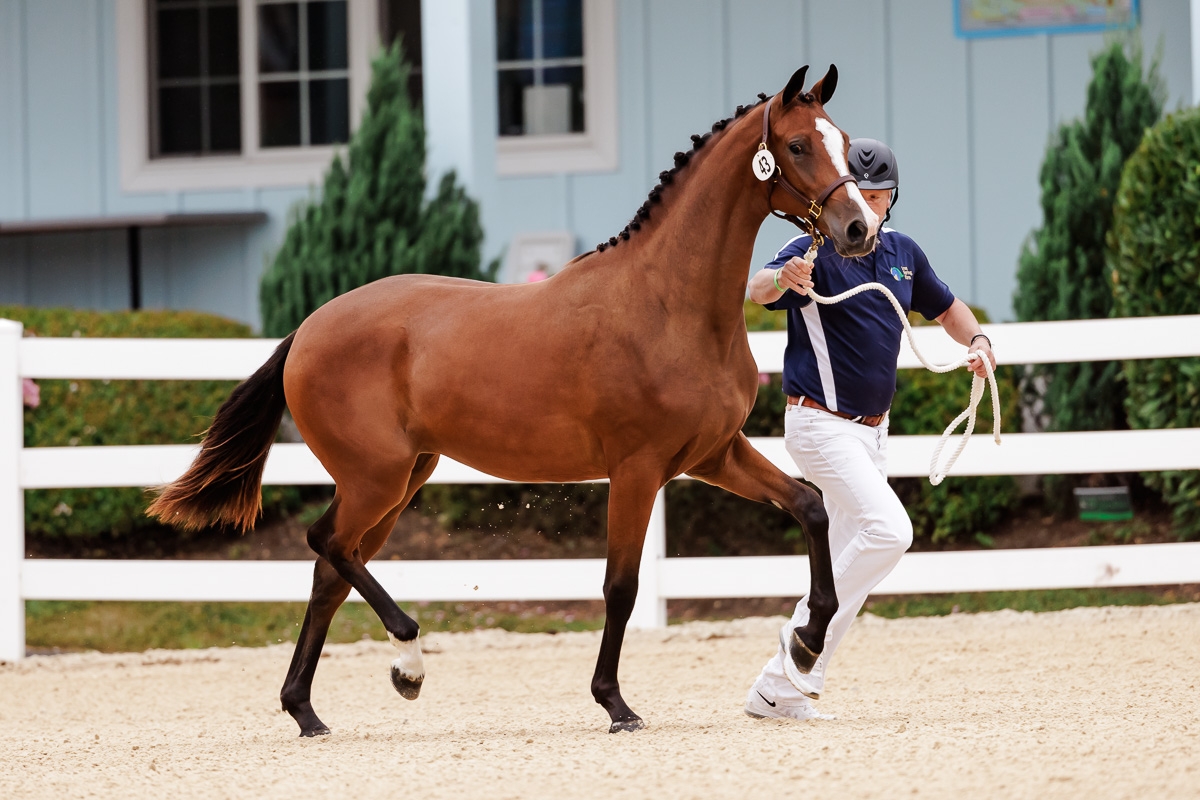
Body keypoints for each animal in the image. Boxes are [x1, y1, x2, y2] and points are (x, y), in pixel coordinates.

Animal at [147, 64, 880, 736]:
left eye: (844, 142)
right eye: (797, 145)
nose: (858, 229)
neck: (670, 304)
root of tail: (307, 330)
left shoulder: (713, 455)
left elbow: (810, 506)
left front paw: (809, 639)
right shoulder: (637, 470)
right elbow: (621, 586)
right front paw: (615, 704)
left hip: (402, 479)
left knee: (332, 567)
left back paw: (307, 710)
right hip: (376, 477)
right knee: (327, 542)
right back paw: (408, 661)